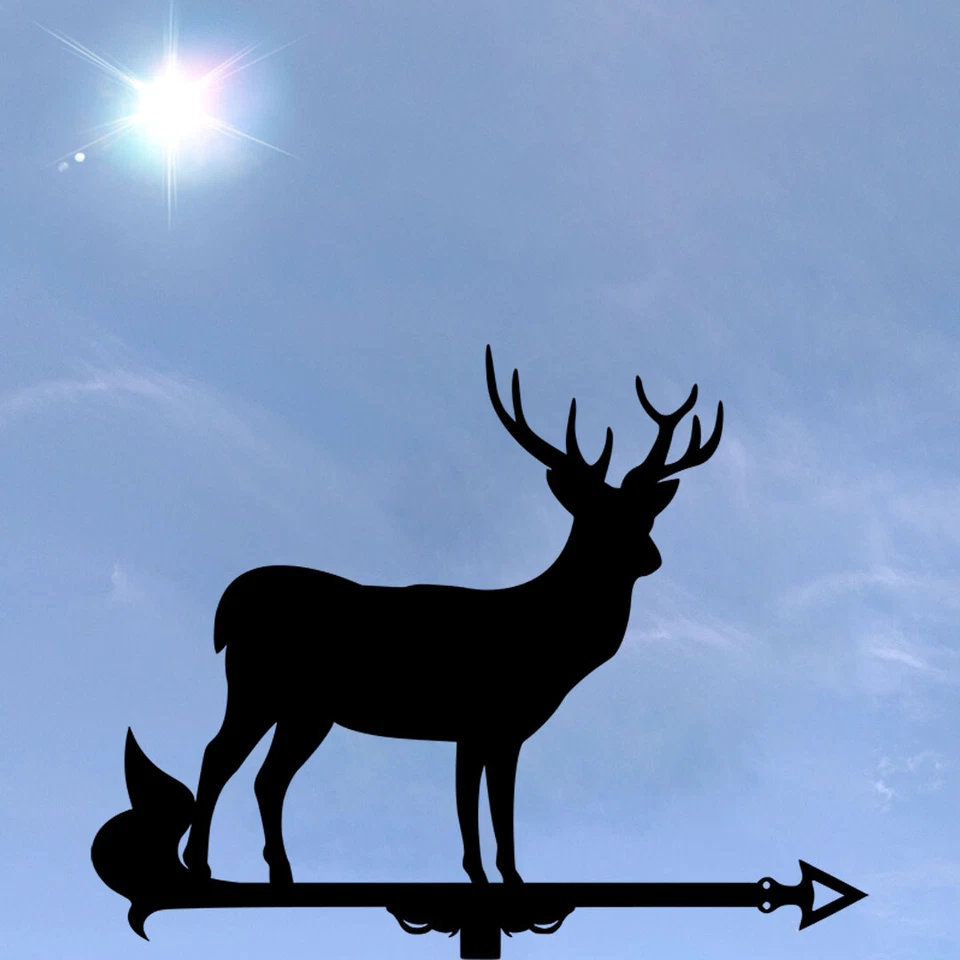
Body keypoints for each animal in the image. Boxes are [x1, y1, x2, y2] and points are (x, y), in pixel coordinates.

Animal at [181, 345, 723, 887]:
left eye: (644, 516)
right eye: (596, 517)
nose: (651, 556)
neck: (550, 646)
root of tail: (228, 605)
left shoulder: (491, 731)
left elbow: (484, 810)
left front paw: (496, 877)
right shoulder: (484, 718)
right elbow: (482, 809)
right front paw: (495, 877)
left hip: (305, 709)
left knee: (266, 778)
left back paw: (279, 871)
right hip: (259, 684)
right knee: (218, 755)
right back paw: (201, 864)